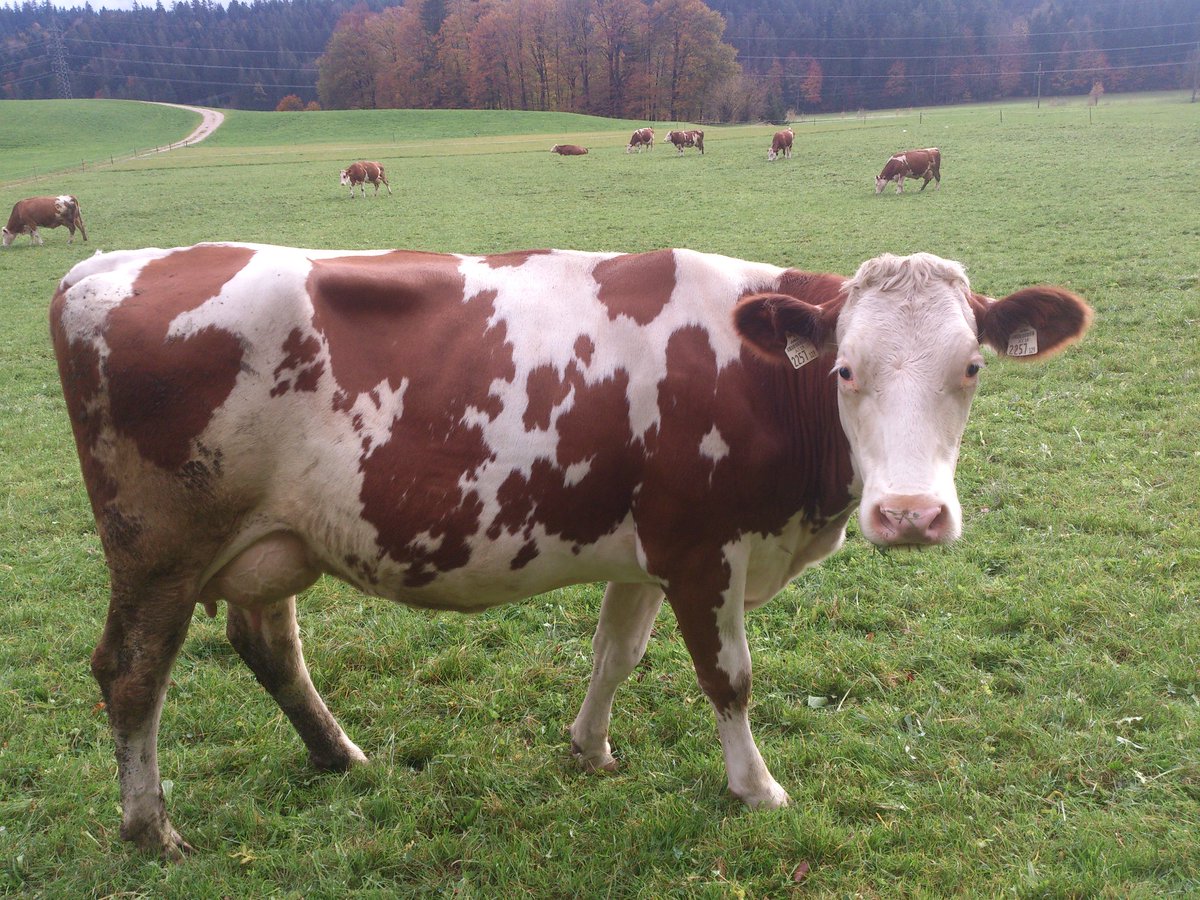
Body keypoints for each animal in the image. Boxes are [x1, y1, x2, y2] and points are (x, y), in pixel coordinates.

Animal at [51, 243, 1094, 864]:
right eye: (845, 369)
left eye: (972, 367)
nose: (911, 514)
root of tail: (106, 264)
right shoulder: (703, 548)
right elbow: (730, 680)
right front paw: (755, 786)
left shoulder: (648, 552)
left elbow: (615, 654)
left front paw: (588, 747)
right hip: (157, 549)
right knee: (131, 672)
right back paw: (150, 826)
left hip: (273, 541)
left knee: (267, 644)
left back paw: (338, 754)